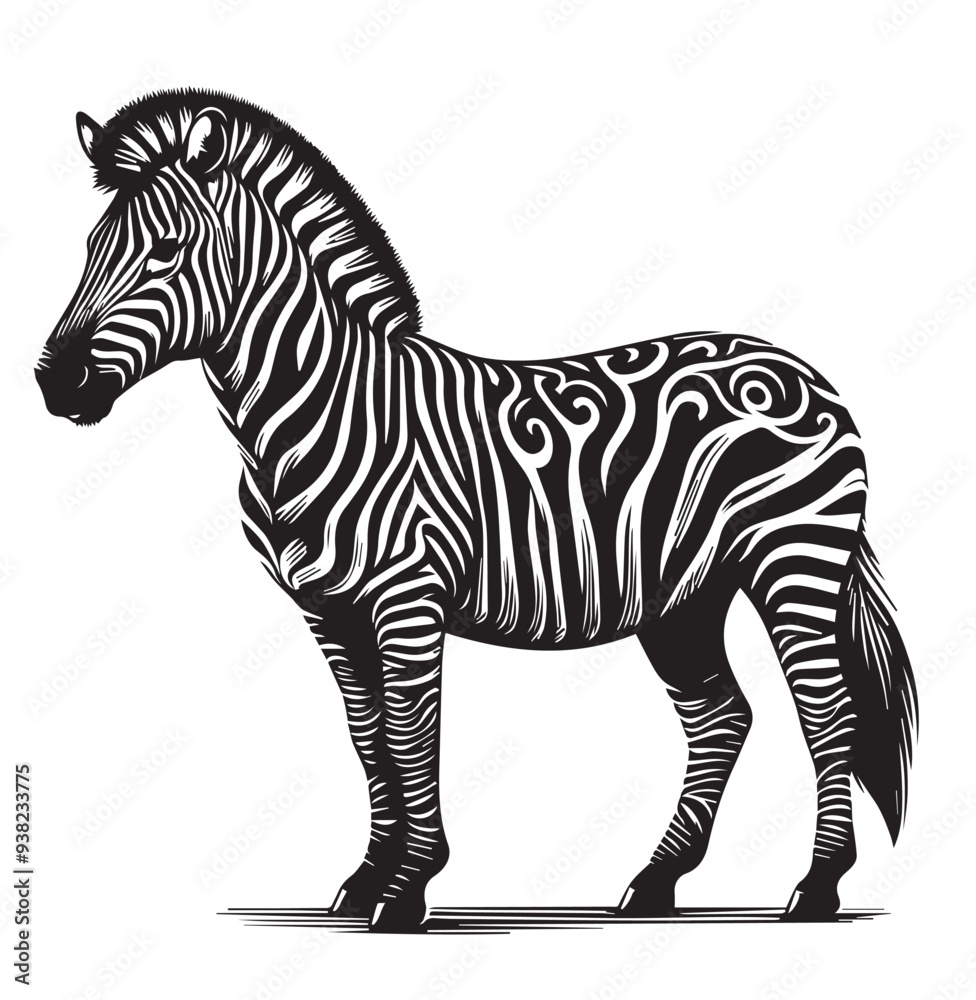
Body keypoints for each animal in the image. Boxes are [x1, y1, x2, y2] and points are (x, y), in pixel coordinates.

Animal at [36, 89, 917, 931]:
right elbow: (368, 736)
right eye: (89, 251)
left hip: (793, 563)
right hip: (684, 598)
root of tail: (798, 370)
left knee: (827, 714)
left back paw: (816, 886)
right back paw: (656, 879)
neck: (316, 413)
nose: (54, 382)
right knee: (721, 718)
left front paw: (408, 889)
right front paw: (368, 877)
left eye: (166, 251)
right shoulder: (328, 611)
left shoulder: (407, 598)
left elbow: (409, 729)